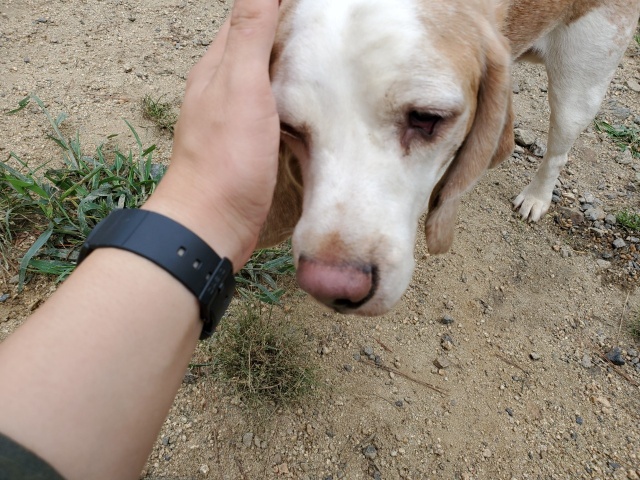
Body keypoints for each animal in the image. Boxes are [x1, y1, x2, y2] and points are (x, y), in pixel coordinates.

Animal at [259, 0, 640, 316]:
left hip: (578, 88)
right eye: (287, 127)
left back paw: (537, 197)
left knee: (558, 150)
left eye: (427, 118)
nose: (329, 288)